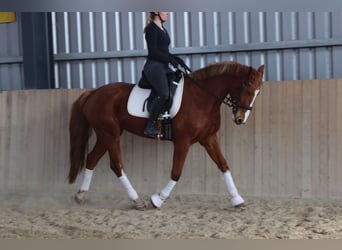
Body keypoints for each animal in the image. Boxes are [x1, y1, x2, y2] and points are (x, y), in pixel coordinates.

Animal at [67, 60, 264, 209]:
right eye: (247, 89)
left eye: (258, 93)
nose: (240, 119)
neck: (201, 98)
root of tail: (93, 93)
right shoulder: (183, 141)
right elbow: (176, 172)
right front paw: (158, 200)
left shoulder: (208, 138)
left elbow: (224, 165)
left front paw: (237, 199)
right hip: (110, 134)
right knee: (116, 165)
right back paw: (137, 201)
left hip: (104, 135)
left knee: (92, 159)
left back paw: (80, 195)